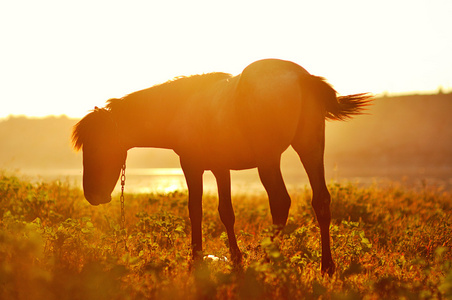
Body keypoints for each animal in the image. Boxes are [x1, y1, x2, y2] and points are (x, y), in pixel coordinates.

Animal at [72, 58, 372, 274]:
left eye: (97, 146)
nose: (93, 195)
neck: (182, 105)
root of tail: (301, 77)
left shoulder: (191, 166)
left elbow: (195, 211)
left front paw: (196, 258)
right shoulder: (220, 168)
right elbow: (226, 213)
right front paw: (236, 258)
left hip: (269, 159)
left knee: (280, 202)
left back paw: (267, 261)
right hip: (310, 150)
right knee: (321, 201)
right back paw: (327, 266)